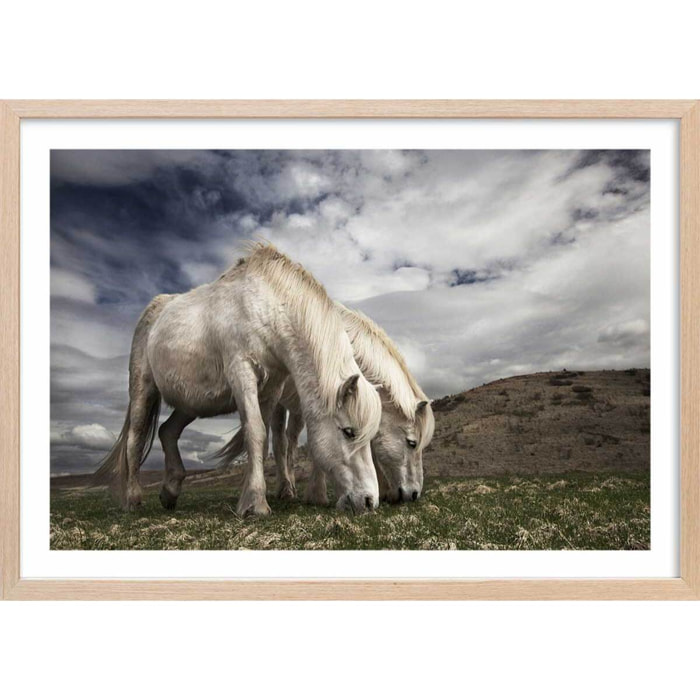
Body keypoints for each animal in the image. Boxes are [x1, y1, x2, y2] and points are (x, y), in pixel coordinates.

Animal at [93, 243, 382, 516]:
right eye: (349, 432)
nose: (369, 501)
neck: (266, 308)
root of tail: (154, 310)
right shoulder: (242, 373)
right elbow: (254, 432)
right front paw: (256, 504)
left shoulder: (272, 389)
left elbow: (263, 440)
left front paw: (251, 497)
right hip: (143, 390)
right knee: (135, 439)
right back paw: (133, 499)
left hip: (190, 405)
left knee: (168, 431)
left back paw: (170, 491)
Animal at [214, 302, 435, 505]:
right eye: (412, 443)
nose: (414, 494)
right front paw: (318, 494)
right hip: (277, 402)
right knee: (278, 440)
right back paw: (284, 488)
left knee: (291, 439)